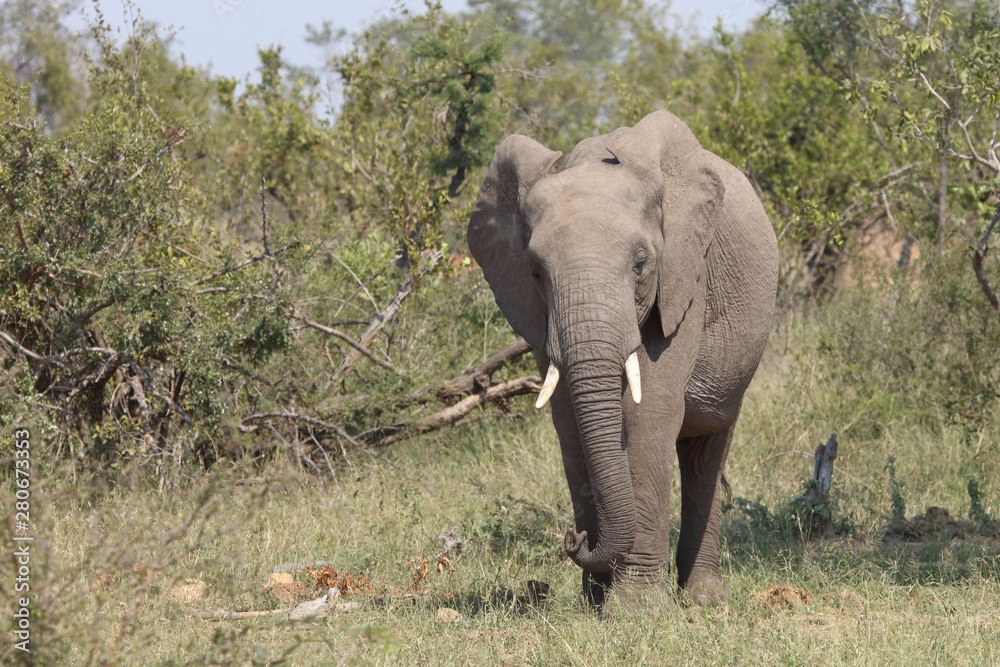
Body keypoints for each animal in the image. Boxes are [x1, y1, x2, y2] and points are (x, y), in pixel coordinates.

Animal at [467, 110, 779, 607]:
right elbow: (568, 420)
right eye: (535, 272)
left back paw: (705, 598)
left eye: (640, 263)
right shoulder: (537, 316)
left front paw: (635, 610)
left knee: (707, 451)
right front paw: (596, 602)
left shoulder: (684, 276)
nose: (573, 538)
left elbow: (649, 411)